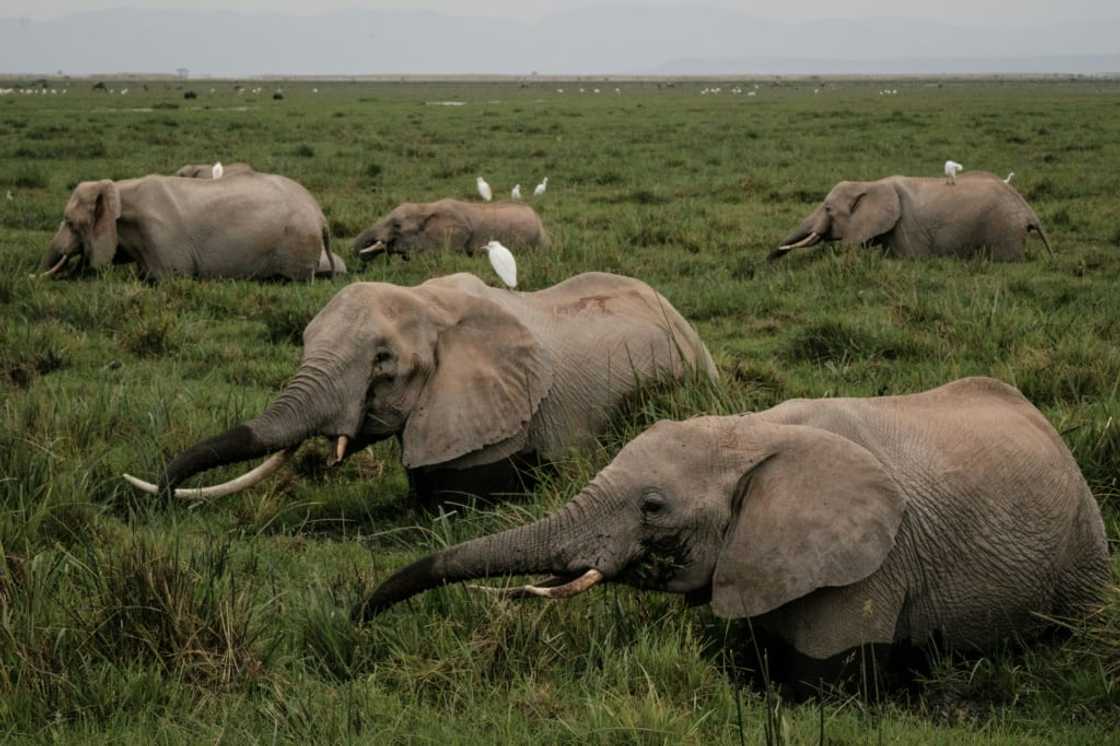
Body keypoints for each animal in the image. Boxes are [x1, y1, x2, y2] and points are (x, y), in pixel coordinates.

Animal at [40, 171, 344, 278]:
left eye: (70, 223)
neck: (120, 188)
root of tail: (320, 215)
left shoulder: (161, 239)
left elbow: (169, 278)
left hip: (297, 246)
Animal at [353, 378, 1106, 685]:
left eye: (654, 507)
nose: (357, 620)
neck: (753, 430)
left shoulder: (876, 562)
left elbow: (825, 680)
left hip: (1085, 546)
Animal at [775, 172, 1052, 260]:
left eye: (828, 209)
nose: (770, 261)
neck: (872, 184)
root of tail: (1029, 211)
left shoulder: (906, 227)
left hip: (1004, 230)